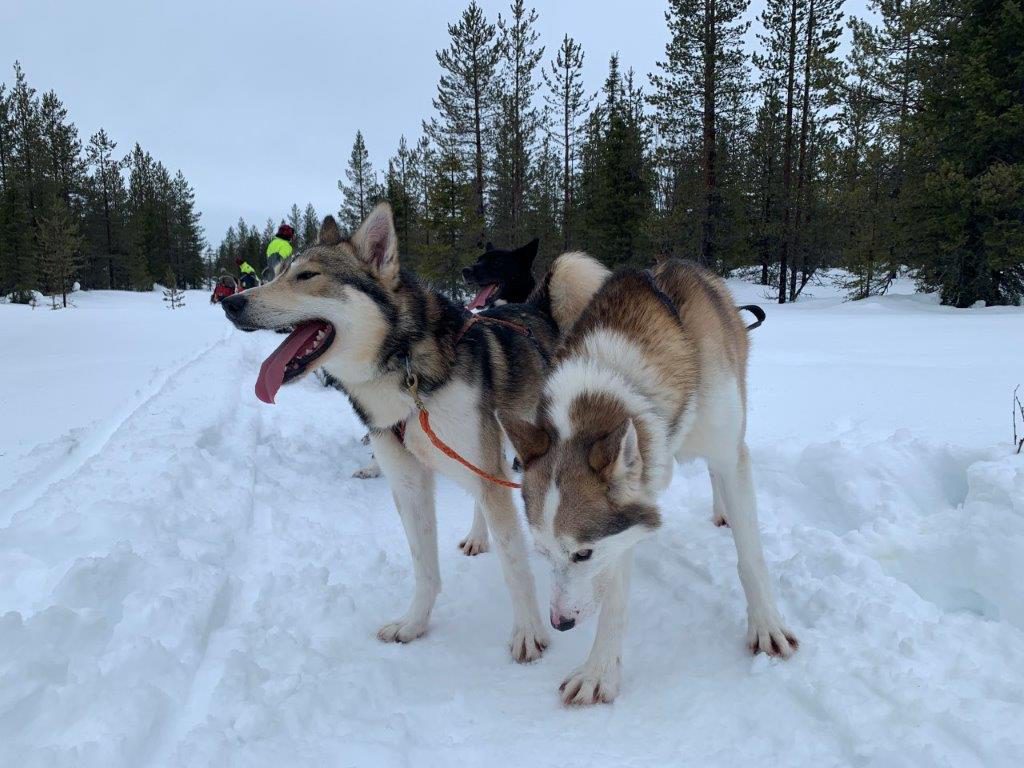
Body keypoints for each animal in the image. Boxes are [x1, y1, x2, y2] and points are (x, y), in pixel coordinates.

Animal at [222, 202, 606, 663]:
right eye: (278, 272)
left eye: (307, 275)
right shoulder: (408, 483)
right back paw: (478, 536)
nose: (230, 303)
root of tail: (540, 310)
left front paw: (529, 633)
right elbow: (424, 565)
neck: (406, 376)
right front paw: (415, 623)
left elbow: (515, 567)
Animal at [503, 262, 798, 708]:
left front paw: (767, 626)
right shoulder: (626, 520)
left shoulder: (729, 455)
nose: (561, 622)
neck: (621, 376)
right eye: (541, 552)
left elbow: (750, 558)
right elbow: (614, 600)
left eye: (583, 554)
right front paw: (599, 672)